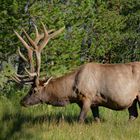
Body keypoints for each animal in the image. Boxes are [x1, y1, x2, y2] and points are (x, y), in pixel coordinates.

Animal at [12, 23, 140, 122]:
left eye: (34, 90)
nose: (22, 101)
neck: (70, 93)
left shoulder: (87, 97)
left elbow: (80, 120)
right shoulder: (93, 103)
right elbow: (97, 120)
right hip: (132, 101)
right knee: (133, 115)